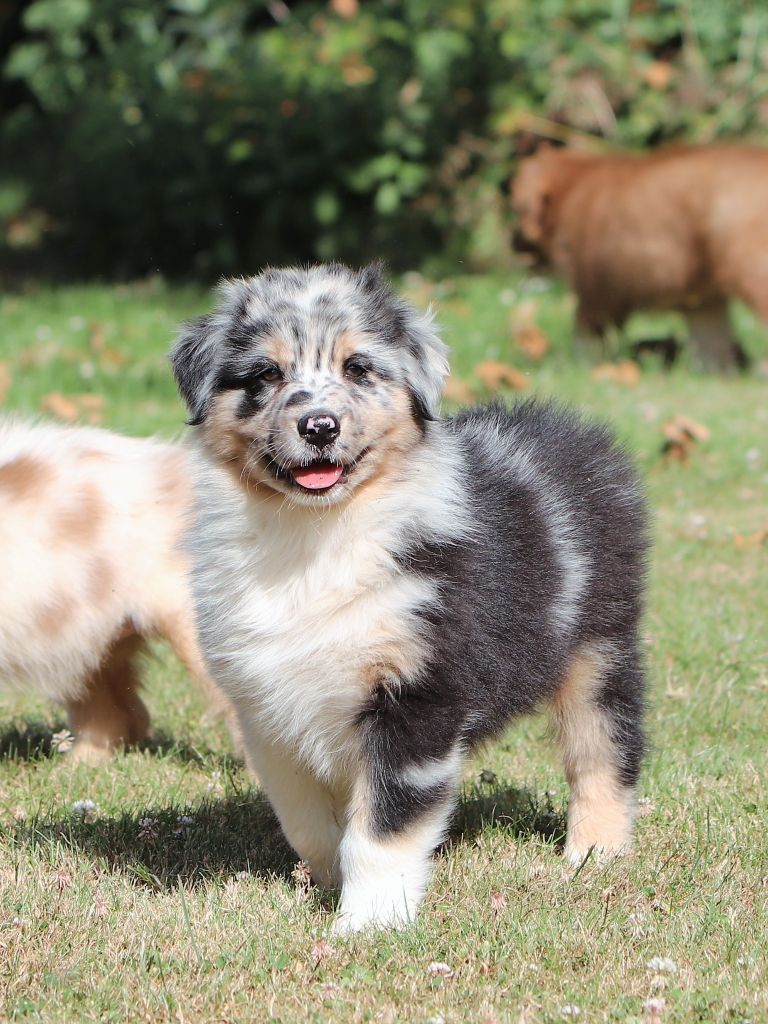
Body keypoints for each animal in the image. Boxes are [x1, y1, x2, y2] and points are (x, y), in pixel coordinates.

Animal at [169, 262, 651, 937]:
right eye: (265, 375)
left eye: (358, 369)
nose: (320, 426)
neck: (314, 537)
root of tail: (572, 430)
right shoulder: (266, 707)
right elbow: (309, 820)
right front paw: (328, 884)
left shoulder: (415, 694)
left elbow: (382, 828)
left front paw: (367, 925)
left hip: (599, 646)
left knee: (605, 750)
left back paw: (593, 854)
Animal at [514, 142, 768, 370]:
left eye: (517, 207)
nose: (513, 241)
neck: (574, 186)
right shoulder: (704, 302)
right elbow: (712, 346)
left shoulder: (596, 291)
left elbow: (586, 336)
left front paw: (576, 365)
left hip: (753, 274)